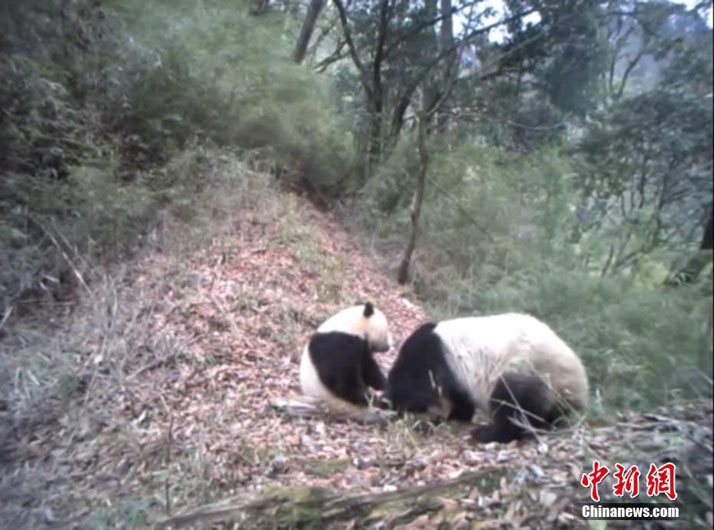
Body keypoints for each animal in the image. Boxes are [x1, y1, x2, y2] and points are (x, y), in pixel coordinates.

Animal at [386, 314, 588, 442]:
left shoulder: (432, 361)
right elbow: (460, 398)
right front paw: (456, 416)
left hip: (526, 366)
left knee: (513, 403)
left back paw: (487, 434)